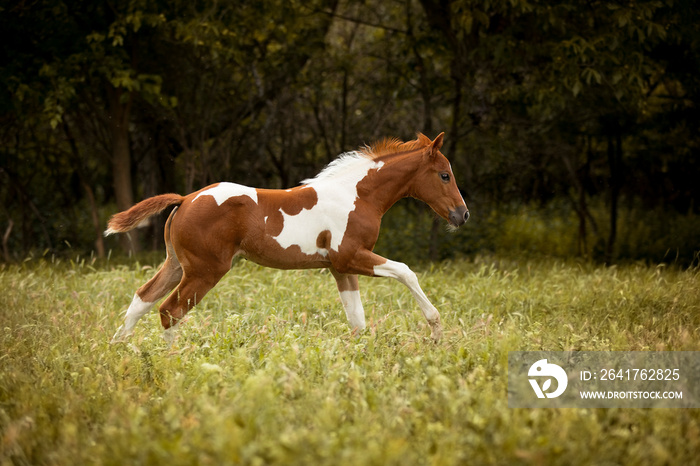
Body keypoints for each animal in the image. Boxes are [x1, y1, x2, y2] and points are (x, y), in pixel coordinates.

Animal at [106, 131, 468, 342]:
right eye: (444, 175)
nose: (462, 214)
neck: (357, 195)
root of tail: (186, 199)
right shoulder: (351, 257)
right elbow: (406, 271)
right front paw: (436, 330)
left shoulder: (340, 268)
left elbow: (357, 320)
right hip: (205, 271)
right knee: (170, 311)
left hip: (177, 265)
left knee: (142, 299)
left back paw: (120, 350)